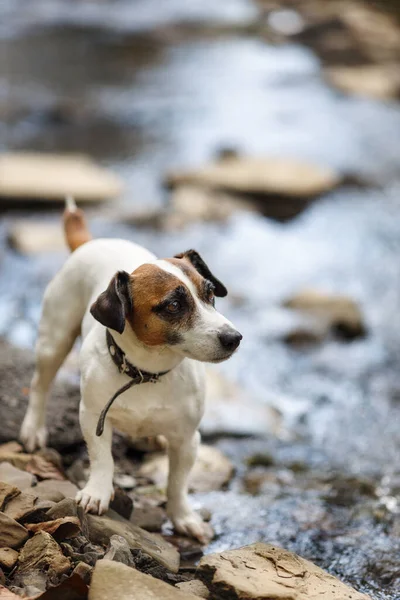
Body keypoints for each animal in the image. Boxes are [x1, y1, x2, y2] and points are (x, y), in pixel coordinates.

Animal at [19, 198, 241, 544]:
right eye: (173, 305)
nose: (234, 338)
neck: (146, 374)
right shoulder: (92, 417)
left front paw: (184, 518)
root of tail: (90, 242)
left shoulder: (187, 439)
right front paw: (97, 492)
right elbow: (102, 458)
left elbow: (177, 483)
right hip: (53, 341)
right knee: (40, 385)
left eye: (210, 294)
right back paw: (33, 429)